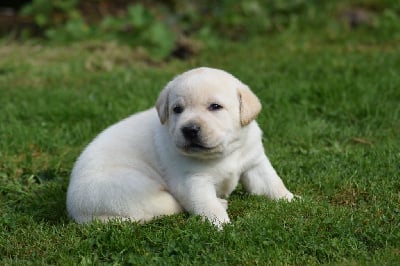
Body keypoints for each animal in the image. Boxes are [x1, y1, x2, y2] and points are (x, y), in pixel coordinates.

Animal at [66, 67, 294, 229]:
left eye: (215, 107)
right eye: (177, 109)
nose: (189, 129)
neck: (223, 153)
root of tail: (76, 212)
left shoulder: (255, 162)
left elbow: (272, 183)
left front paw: (291, 200)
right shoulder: (192, 181)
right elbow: (206, 205)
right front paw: (222, 225)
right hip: (135, 191)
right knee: (169, 206)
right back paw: (221, 203)